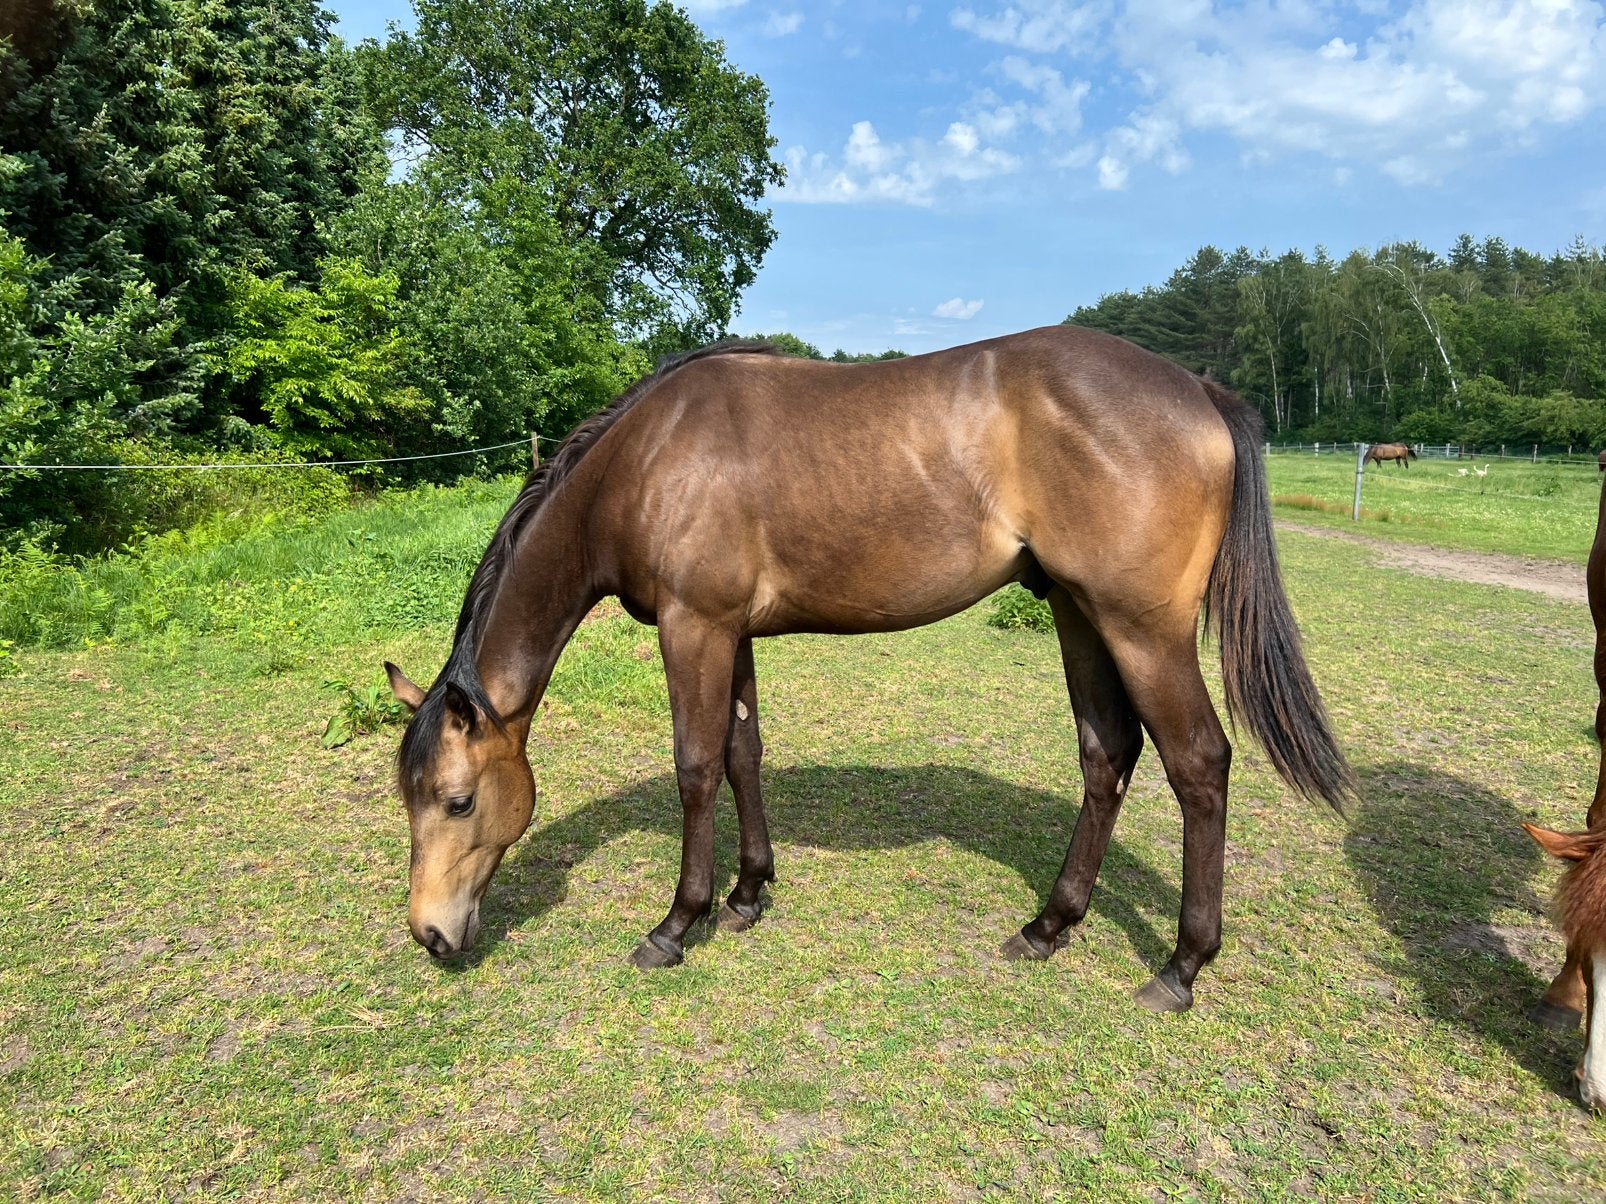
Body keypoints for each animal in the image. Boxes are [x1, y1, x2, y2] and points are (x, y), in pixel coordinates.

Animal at [385, 325, 1354, 1014]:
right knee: (1107, 754)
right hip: (1081, 614)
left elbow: (695, 766)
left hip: (1141, 630)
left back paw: (1181, 966)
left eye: (458, 801)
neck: (648, 460)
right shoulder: (731, 632)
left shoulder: (694, 628)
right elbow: (742, 753)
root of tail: (1198, 390)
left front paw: (678, 922)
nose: (429, 934)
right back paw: (1049, 926)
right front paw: (748, 892)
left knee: (1199, 764)